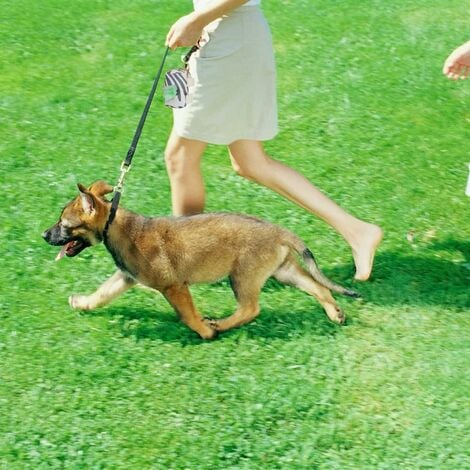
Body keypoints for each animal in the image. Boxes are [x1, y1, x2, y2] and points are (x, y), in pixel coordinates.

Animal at [44, 180, 358, 338]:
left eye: (64, 224)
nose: (44, 235)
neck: (116, 226)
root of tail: (278, 230)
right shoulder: (126, 277)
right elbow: (102, 294)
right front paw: (82, 303)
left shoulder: (174, 287)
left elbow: (188, 315)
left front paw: (205, 332)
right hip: (283, 270)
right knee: (318, 287)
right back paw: (335, 313)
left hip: (242, 276)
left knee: (250, 309)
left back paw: (220, 324)